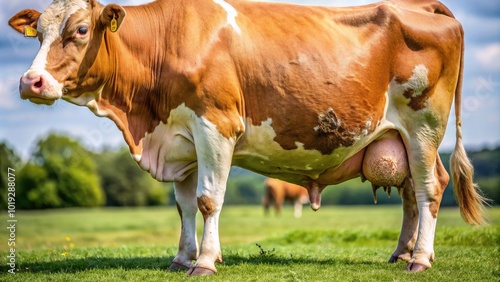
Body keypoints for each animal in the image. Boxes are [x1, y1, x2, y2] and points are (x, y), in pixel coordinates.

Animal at [7, 0, 486, 276]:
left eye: (80, 30)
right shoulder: (182, 137)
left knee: (429, 188)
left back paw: (420, 259)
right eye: (39, 33)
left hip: (424, 124)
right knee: (410, 191)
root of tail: (422, 5)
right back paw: (403, 253)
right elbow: (184, 205)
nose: (30, 81)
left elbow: (208, 200)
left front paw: (204, 263)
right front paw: (181, 258)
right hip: (400, 137)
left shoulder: (216, 125)